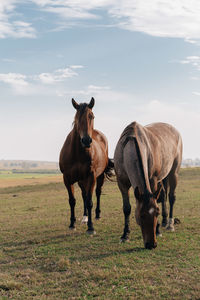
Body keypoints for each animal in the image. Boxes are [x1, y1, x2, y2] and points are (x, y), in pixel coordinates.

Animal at [58, 98, 113, 234]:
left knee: (97, 193)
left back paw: (97, 215)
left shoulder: (91, 177)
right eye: (77, 117)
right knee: (83, 194)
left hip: (99, 177)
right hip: (81, 180)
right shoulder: (67, 179)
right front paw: (72, 223)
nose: (87, 140)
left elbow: (89, 201)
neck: (77, 152)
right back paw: (84, 217)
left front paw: (91, 227)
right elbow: (72, 201)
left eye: (92, 116)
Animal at [113, 120, 182, 250]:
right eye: (141, 215)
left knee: (171, 197)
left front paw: (158, 230)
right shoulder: (122, 183)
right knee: (164, 195)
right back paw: (165, 221)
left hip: (173, 172)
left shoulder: (152, 180)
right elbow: (126, 208)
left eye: (156, 213)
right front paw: (125, 235)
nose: (152, 244)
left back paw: (170, 224)